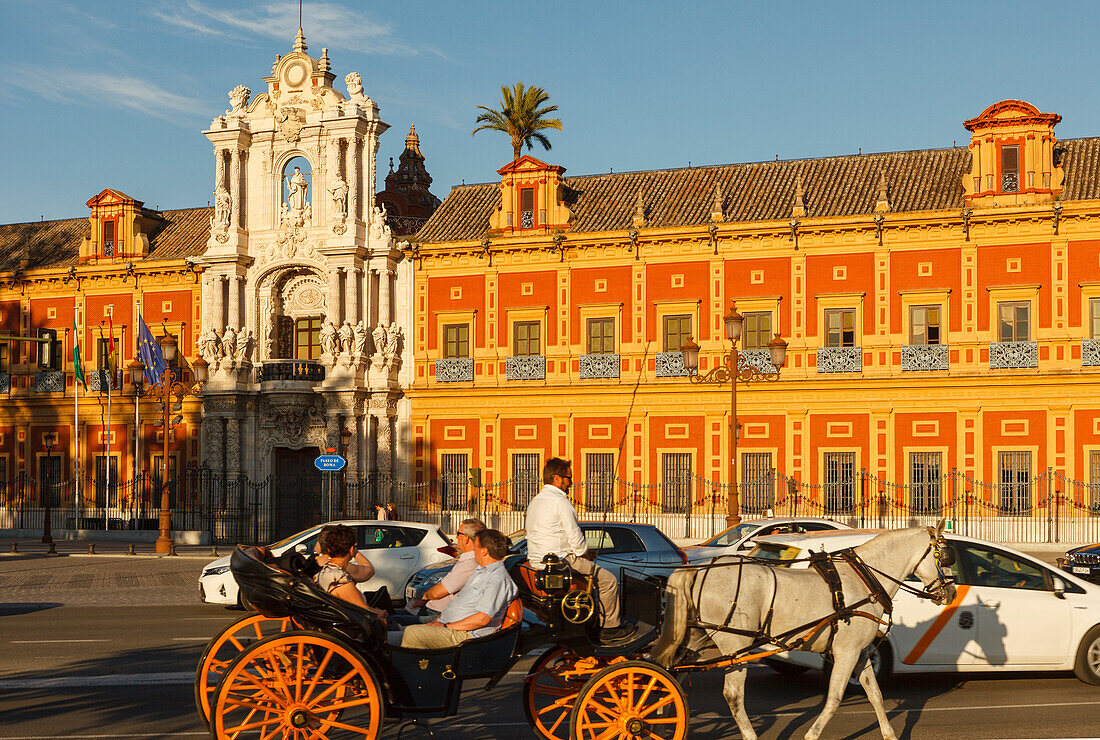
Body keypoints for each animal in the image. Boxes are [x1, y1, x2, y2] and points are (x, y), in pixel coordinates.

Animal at [651, 523, 954, 734]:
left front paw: (889, 734)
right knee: (732, 696)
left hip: (696, 637)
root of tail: (700, 569)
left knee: (667, 675)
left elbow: (876, 695)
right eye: (944, 556)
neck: (865, 579)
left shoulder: (860, 652)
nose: (950, 591)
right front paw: (812, 734)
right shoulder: (845, 652)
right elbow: (834, 698)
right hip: (735, 649)